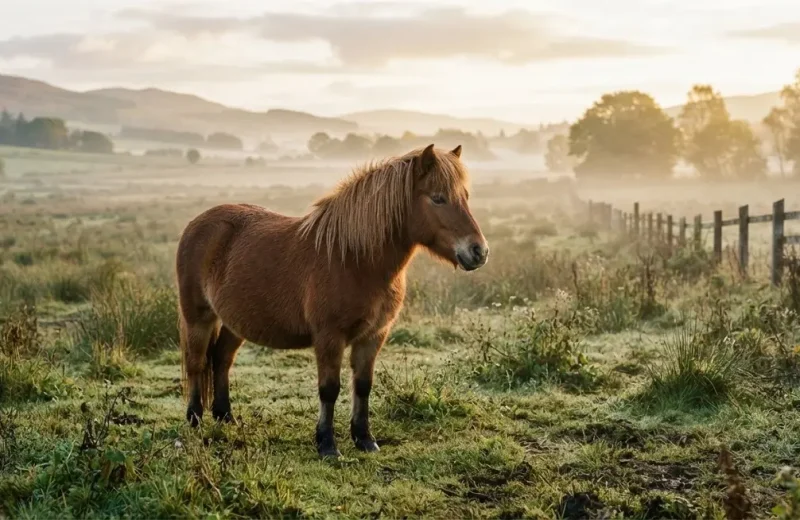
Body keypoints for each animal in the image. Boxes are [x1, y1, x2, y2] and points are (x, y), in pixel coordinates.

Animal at [176, 143, 489, 457]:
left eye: (465, 196)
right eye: (438, 198)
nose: (479, 252)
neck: (353, 259)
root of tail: (198, 223)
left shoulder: (373, 336)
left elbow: (362, 385)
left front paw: (364, 438)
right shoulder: (329, 337)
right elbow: (329, 388)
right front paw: (327, 443)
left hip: (235, 322)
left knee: (222, 359)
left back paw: (225, 416)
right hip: (198, 317)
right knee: (196, 362)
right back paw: (195, 419)